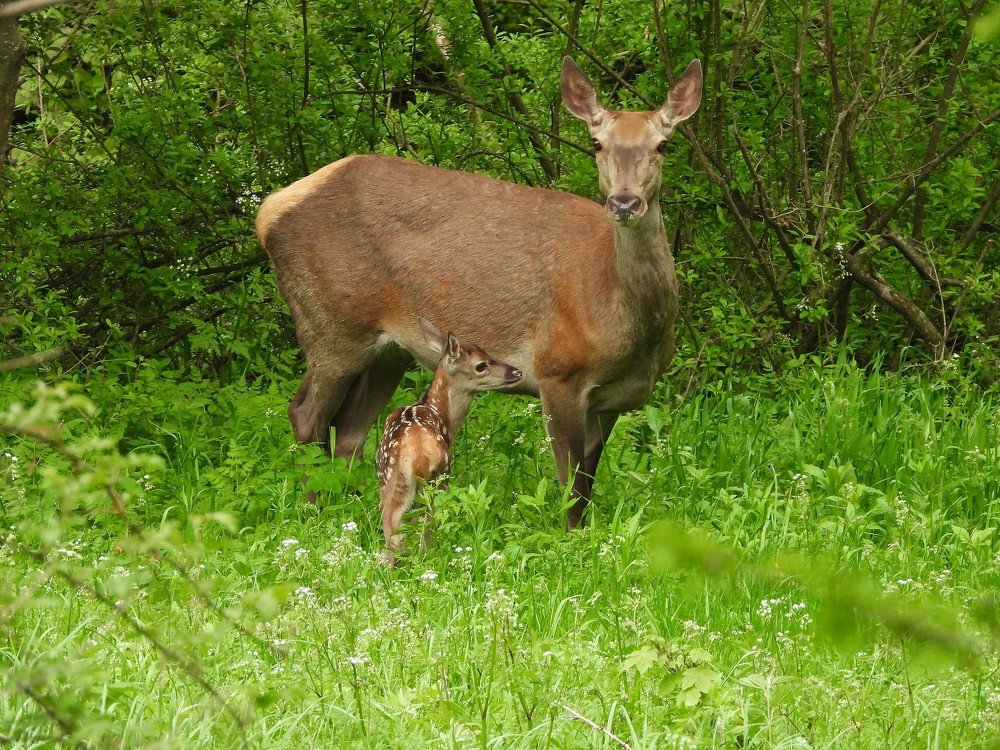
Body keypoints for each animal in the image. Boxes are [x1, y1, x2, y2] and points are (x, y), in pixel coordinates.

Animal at [255, 56, 702, 529]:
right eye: (596, 143)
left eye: (664, 145)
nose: (624, 202)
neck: (625, 326)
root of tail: (266, 212)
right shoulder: (558, 371)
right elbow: (569, 486)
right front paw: (570, 536)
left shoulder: (613, 398)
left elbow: (587, 480)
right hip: (330, 324)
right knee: (307, 416)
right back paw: (316, 512)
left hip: (389, 349)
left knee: (350, 429)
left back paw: (354, 510)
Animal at [376, 318, 522, 563]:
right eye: (481, 365)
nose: (516, 371)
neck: (441, 414)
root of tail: (416, 452)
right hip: (437, 476)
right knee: (424, 525)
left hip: (390, 480)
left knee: (392, 528)